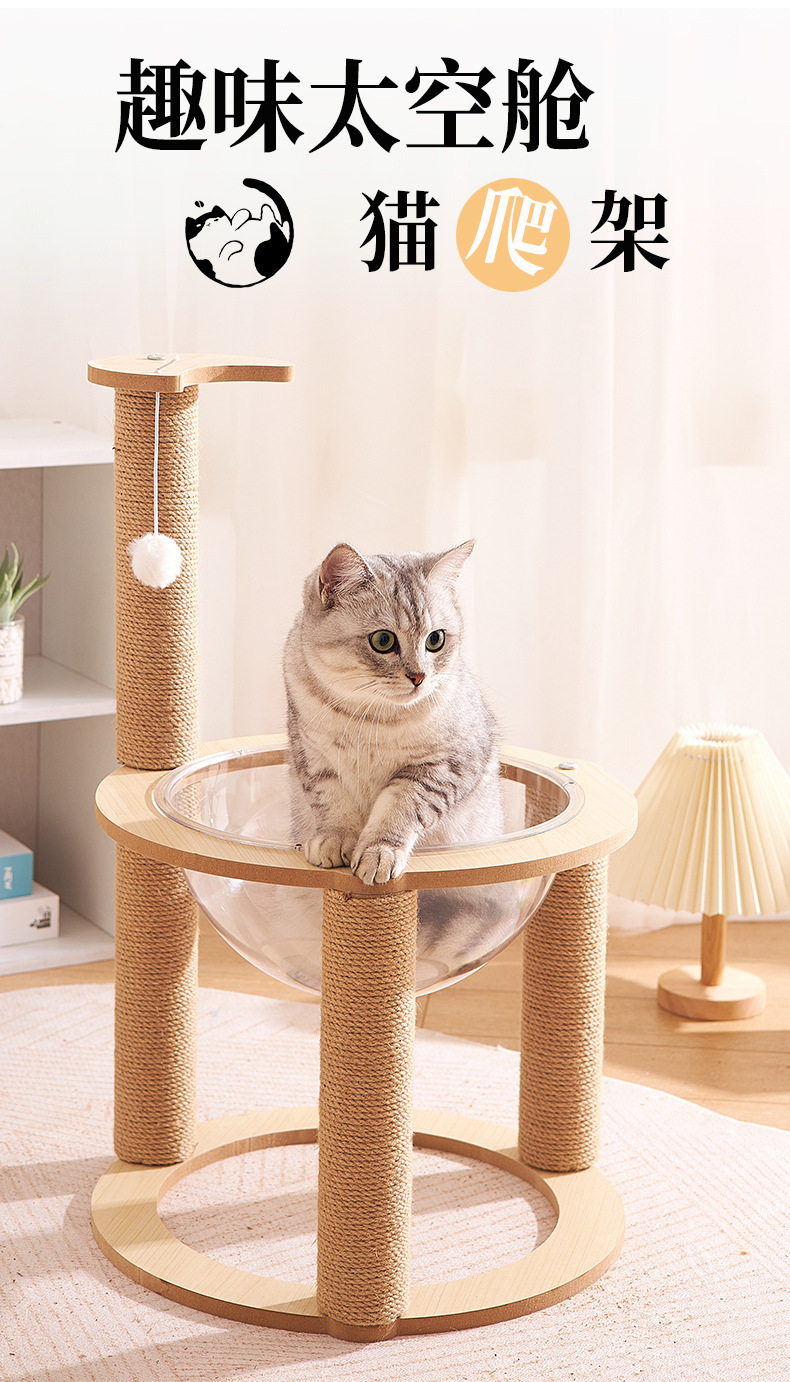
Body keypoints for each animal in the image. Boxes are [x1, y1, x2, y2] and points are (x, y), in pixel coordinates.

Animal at [283, 539, 504, 886]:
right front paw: (334, 838)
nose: (419, 677)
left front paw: (378, 852)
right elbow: (331, 802)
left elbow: (400, 806)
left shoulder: (446, 765)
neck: (368, 716)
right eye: (383, 640)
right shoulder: (312, 757)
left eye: (435, 639)